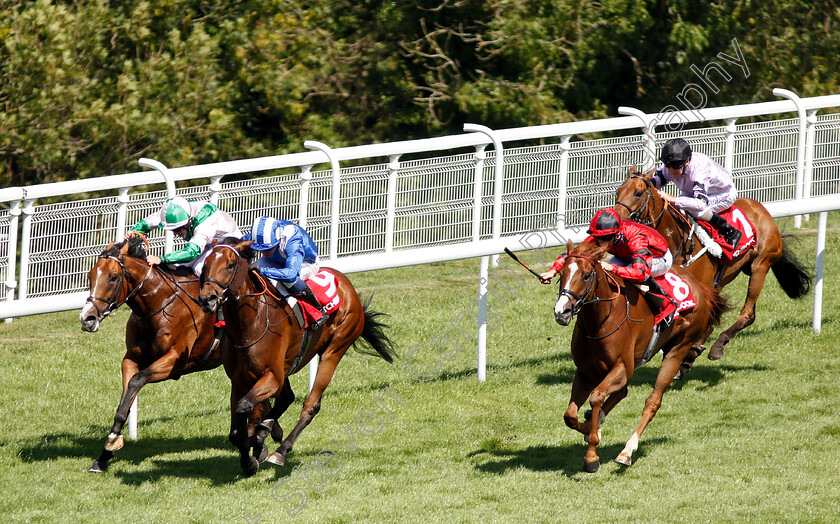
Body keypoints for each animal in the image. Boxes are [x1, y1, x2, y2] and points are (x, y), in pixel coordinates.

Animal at [79, 237, 272, 474]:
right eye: (90, 275)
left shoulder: (174, 363)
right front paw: (105, 453)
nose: (87, 318)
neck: (159, 303)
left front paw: (112, 442)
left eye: (113, 277)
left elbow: (137, 381)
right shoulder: (131, 359)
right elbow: (126, 400)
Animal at [197, 239, 398, 476]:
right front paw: (251, 455)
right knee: (287, 398)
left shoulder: (272, 377)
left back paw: (280, 450)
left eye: (230, 265)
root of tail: (347, 285)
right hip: (286, 367)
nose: (207, 299)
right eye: (205, 264)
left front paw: (254, 451)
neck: (251, 323)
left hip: (335, 349)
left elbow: (244, 409)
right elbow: (237, 429)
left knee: (310, 405)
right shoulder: (240, 380)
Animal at [556, 238, 724, 470]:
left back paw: (627, 451)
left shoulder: (622, 368)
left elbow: (597, 396)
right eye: (561, 273)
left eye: (586, 275)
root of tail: (700, 288)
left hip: (677, 350)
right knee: (622, 393)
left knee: (652, 402)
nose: (561, 312)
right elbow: (570, 415)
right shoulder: (585, 371)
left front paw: (592, 455)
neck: (599, 322)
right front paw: (590, 427)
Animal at [612, 170, 812, 362]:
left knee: (747, 313)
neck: (678, 241)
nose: (616, 219)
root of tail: (761, 209)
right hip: (724, 279)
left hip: (760, 265)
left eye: (638, 193)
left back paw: (717, 346)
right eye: (618, 191)